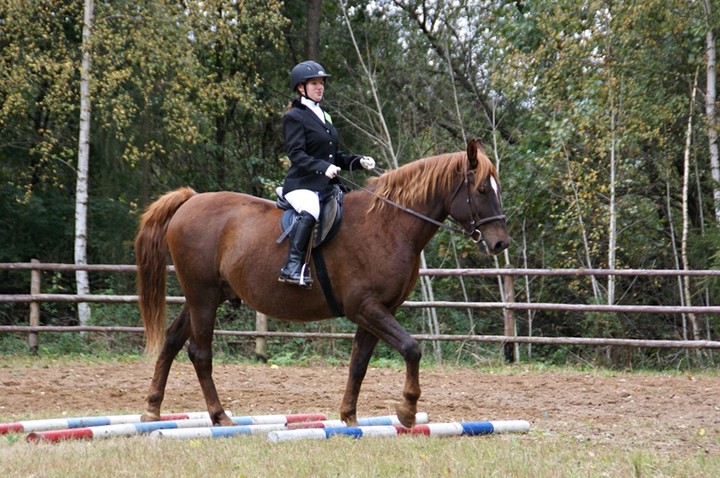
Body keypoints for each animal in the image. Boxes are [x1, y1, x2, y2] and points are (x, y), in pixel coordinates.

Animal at [134, 136, 506, 428]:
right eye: (482, 189)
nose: (500, 243)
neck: (388, 224)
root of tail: (191, 199)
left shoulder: (379, 309)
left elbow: (359, 363)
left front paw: (350, 418)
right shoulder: (365, 307)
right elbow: (411, 349)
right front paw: (407, 411)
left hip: (204, 297)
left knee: (172, 341)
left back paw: (152, 410)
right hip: (204, 296)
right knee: (200, 353)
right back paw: (219, 416)